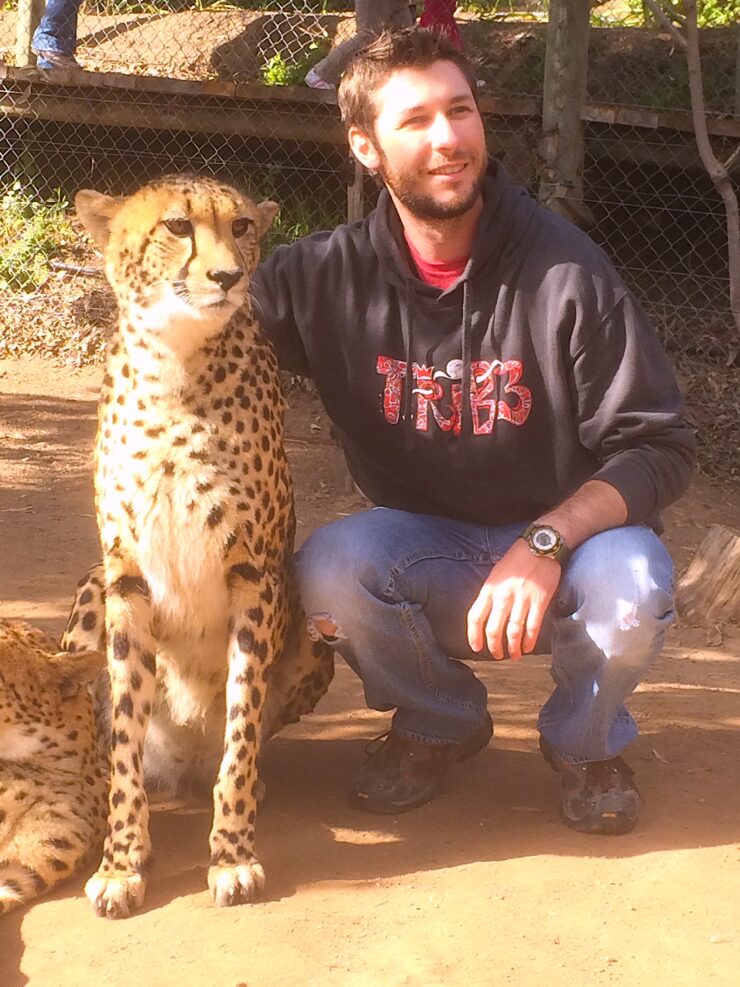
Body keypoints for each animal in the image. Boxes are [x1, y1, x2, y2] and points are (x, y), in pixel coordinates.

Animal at [73, 174, 334, 919]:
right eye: (178, 226)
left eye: (242, 226)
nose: (228, 275)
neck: (176, 366)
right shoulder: (125, 574)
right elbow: (124, 742)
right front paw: (122, 861)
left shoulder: (255, 576)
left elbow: (240, 734)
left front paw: (233, 854)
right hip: (91, 588)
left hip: (316, 635)